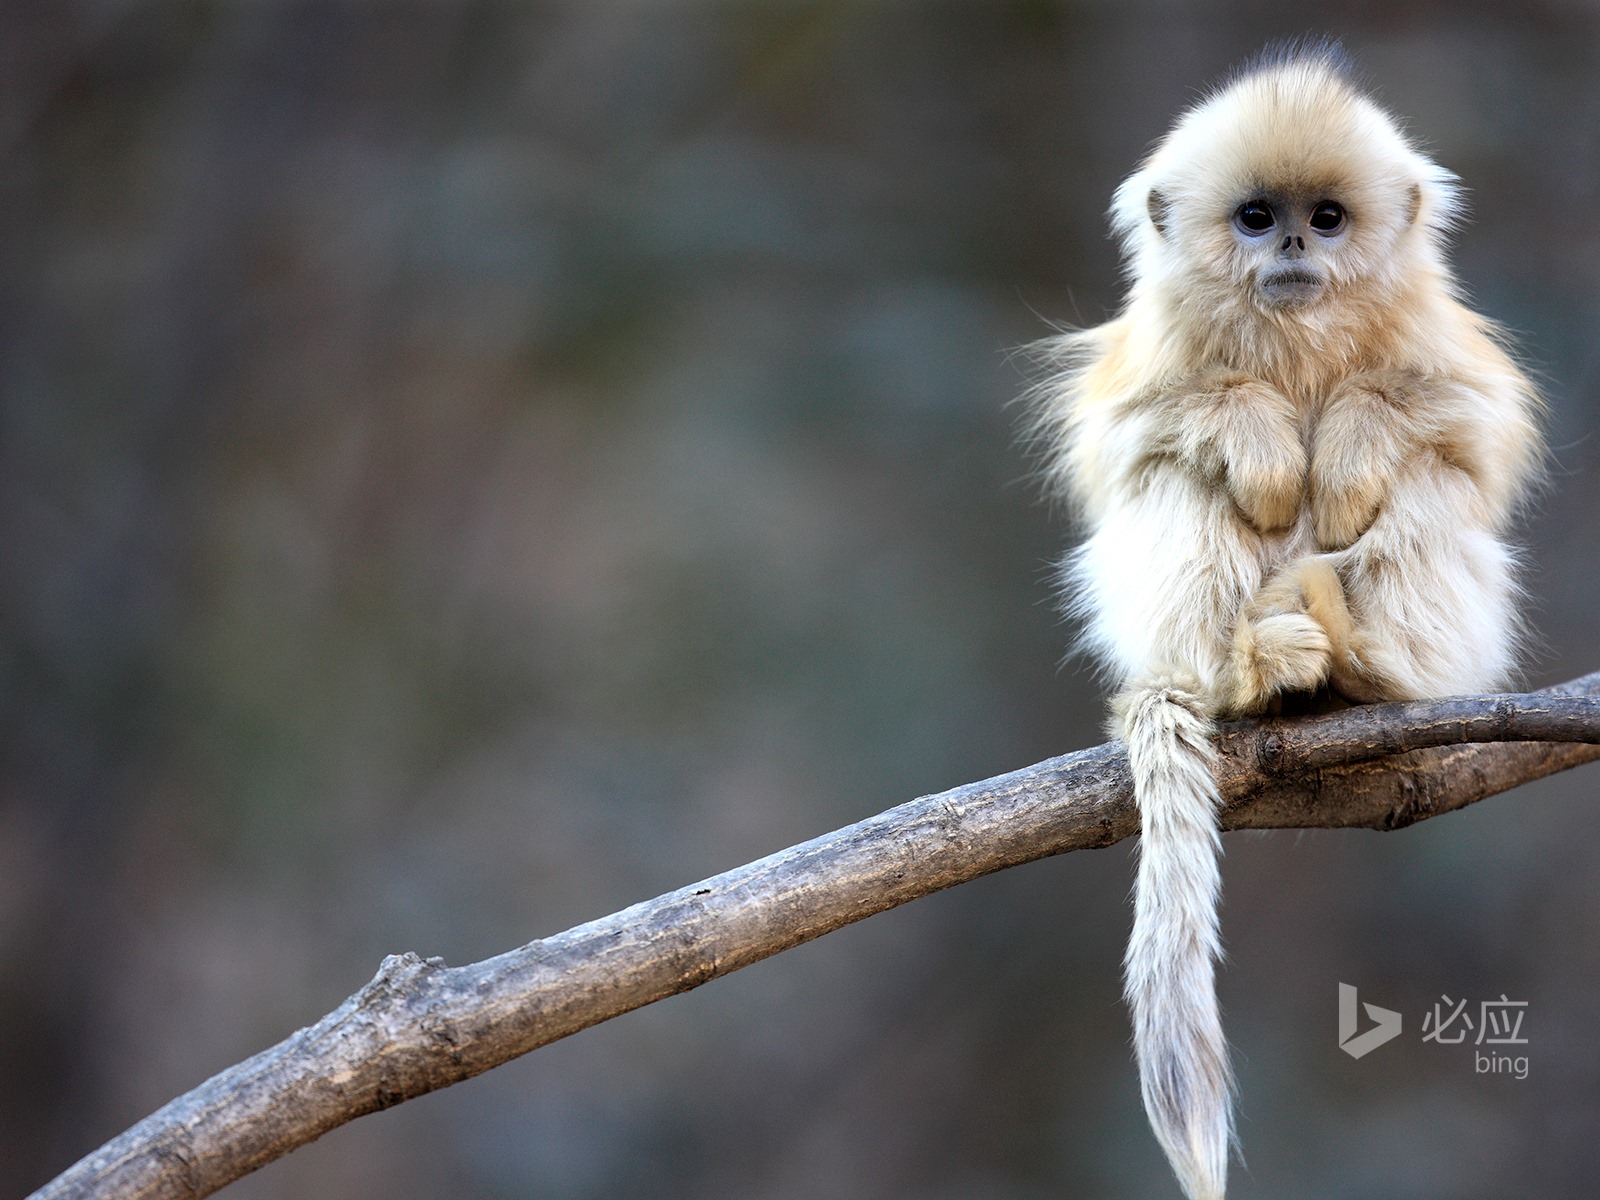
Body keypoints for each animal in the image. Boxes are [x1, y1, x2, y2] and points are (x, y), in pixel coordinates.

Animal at [1030, 42, 1542, 1196]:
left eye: (1330, 217)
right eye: (1258, 216)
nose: (1298, 245)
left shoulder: (1443, 346)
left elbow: (1465, 429)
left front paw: (1346, 450)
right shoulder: (1150, 360)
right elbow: (1132, 437)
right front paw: (1263, 444)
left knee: (1430, 485)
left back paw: (1364, 667)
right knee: (1174, 481)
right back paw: (1250, 672)